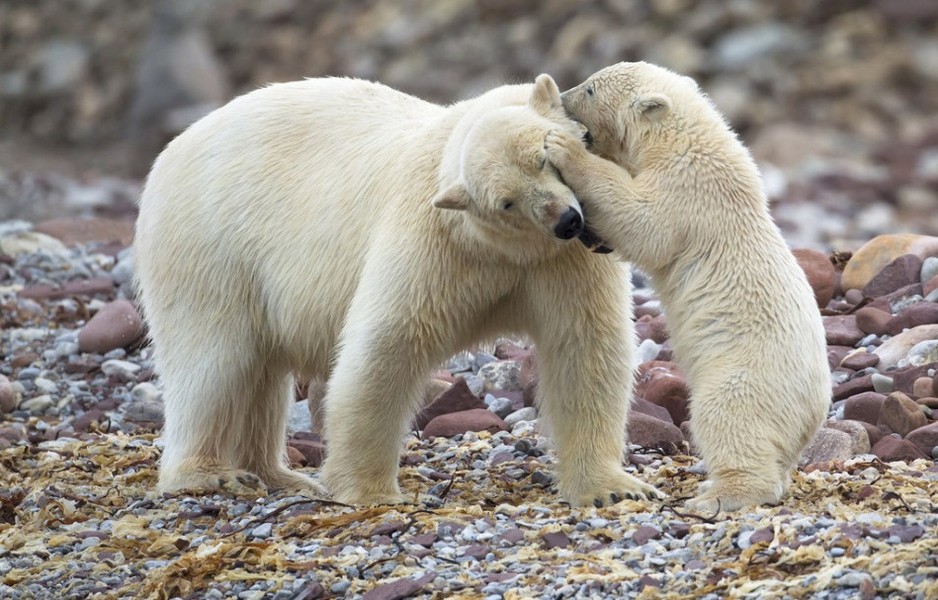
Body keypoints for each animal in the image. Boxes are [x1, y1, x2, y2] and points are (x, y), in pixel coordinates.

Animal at [133, 74, 660, 506]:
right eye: (506, 201)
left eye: (546, 158)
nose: (566, 220)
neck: (507, 250)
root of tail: (172, 149)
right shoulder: (436, 242)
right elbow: (388, 345)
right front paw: (370, 491)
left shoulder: (563, 260)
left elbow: (584, 347)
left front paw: (613, 488)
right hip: (210, 244)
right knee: (214, 361)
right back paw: (210, 474)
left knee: (259, 370)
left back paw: (276, 474)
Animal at [540, 62, 828, 510]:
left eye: (589, 89)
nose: (565, 97)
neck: (686, 137)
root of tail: (814, 416)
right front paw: (593, 235)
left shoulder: (689, 186)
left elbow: (645, 223)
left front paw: (565, 149)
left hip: (747, 377)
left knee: (727, 417)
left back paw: (719, 494)